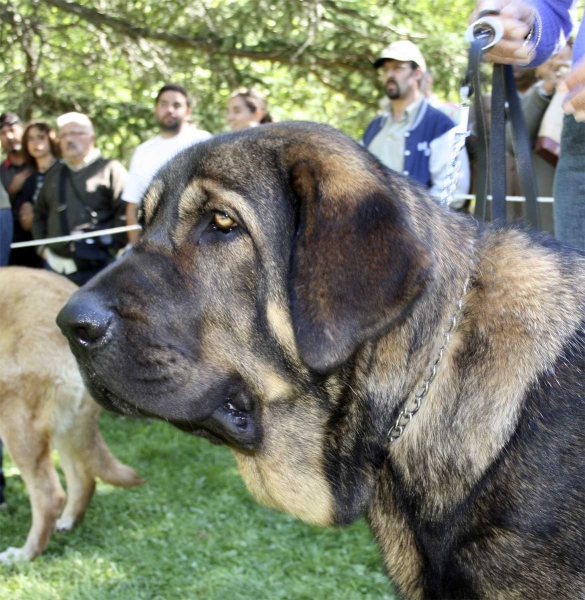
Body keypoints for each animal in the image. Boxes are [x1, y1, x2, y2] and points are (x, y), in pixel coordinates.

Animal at [0, 268, 141, 564]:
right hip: (66, 426)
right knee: (84, 478)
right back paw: (67, 523)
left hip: (16, 422)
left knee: (50, 496)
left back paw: (25, 555)